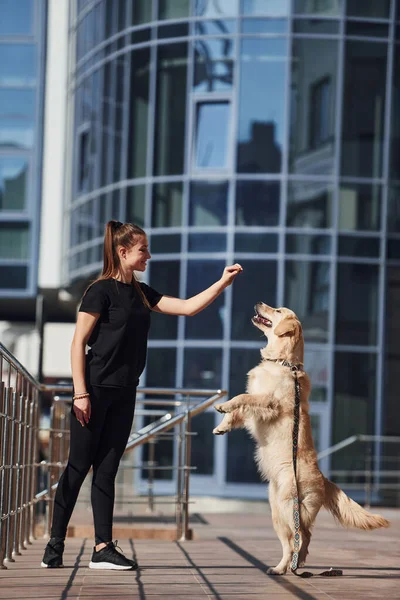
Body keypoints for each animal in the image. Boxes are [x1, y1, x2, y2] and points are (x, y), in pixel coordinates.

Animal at [214, 304, 390, 576]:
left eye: (277, 310)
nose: (258, 304)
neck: (283, 362)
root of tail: (323, 480)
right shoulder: (256, 404)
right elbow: (238, 412)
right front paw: (222, 426)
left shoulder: (268, 402)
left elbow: (241, 398)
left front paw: (223, 405)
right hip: (276, 512)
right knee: (294, 541)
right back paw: (285, 566)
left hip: (289, 507)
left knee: (302, 536)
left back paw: (290, 566)